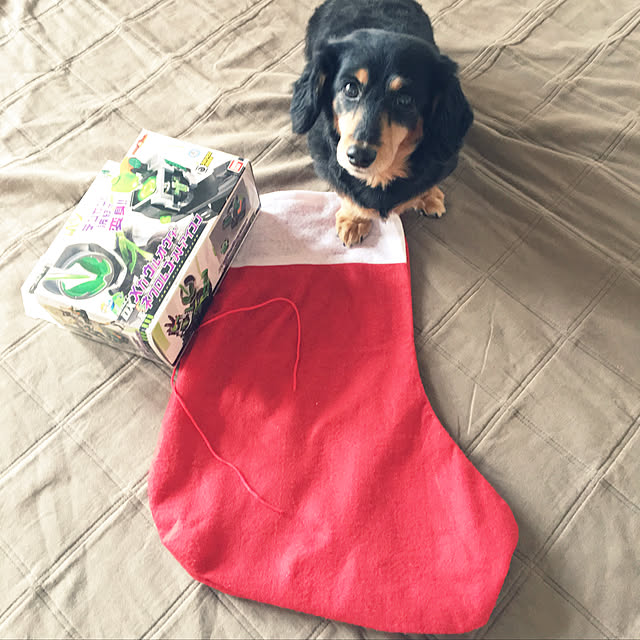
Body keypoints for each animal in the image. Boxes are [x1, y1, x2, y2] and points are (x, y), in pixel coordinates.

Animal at [290, 0, 473, 246]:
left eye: (405, 100)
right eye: (350, 88)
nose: (359, 156)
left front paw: (428, 196)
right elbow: (346, 192)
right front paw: (354, 219)